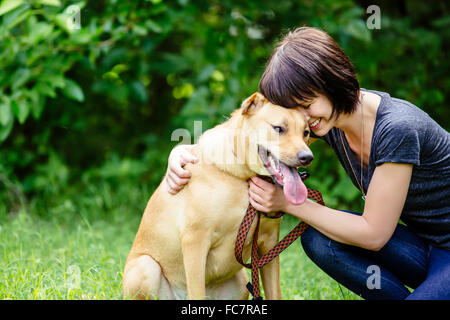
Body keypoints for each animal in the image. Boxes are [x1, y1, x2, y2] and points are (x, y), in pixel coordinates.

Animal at [123, 92, 312, 300]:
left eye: (306, 132)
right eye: (278, 128)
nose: (307, 157)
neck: (243, 178)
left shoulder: (269, 245)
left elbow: (274, 292)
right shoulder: (195, 240)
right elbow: (196, 292)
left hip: (241, 281)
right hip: (146, 267)